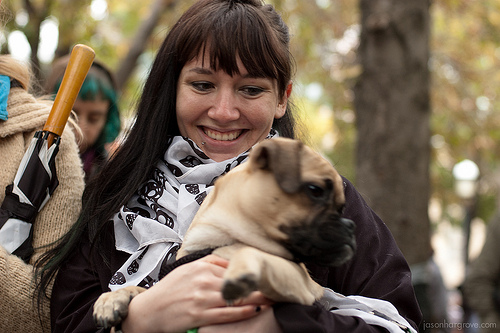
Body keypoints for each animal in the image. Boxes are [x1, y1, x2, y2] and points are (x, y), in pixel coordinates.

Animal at [93, 137, 356, 326]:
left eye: (342, 206)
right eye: (315, 190)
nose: (350, 225)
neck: (220, 239)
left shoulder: (299, 282)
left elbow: (255, 254)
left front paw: (240, 270)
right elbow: (141, 289)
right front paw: (111, 299)